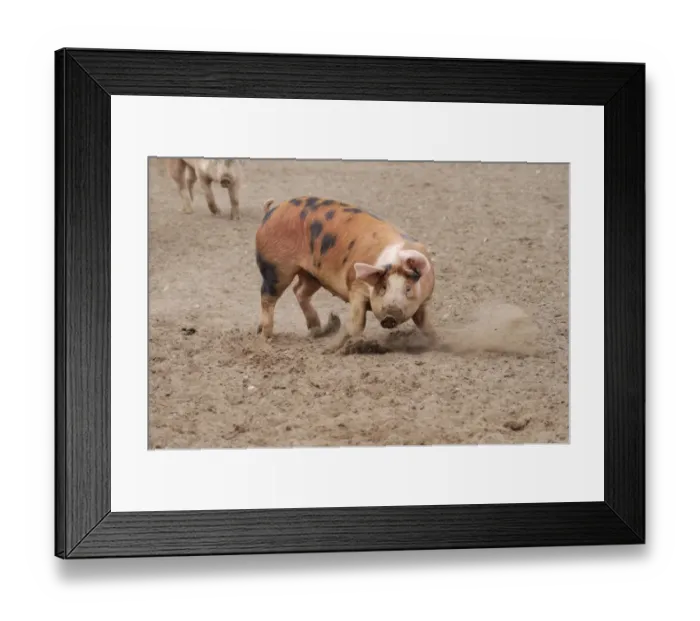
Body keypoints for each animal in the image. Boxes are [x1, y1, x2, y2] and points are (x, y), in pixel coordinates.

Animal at [254, 196, 438, 353]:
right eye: (383, 287)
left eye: (408, 289)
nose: (390, 315)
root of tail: (270, 212)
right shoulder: (356, 287)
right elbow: (357, 323)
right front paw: (333, 349)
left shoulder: (423, 301)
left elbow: (426, 324)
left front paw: (437, 343)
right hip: (276, 268)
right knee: (267, 297)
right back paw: (265, 338)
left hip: (312, 275)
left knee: (299, 291)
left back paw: (317, 329)